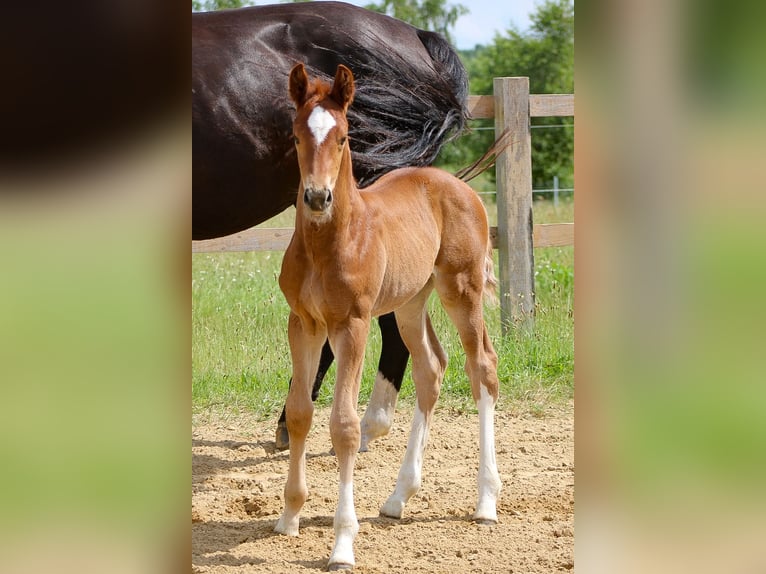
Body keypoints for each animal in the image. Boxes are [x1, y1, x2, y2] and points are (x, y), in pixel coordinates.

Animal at [275, 63, 502, 570]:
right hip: (409, 303)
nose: (316, 197)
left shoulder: (352, 325)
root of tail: (461, 187)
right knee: (431, 368)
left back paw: (486, 502)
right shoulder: (304, 323)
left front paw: (342, 543)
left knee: (482, 367)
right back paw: (398, 498)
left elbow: (344, 426)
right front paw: (289, 516)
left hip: (461, 290)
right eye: (297, 135)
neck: (330, 241)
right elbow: (300, 413)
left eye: (343, 137)